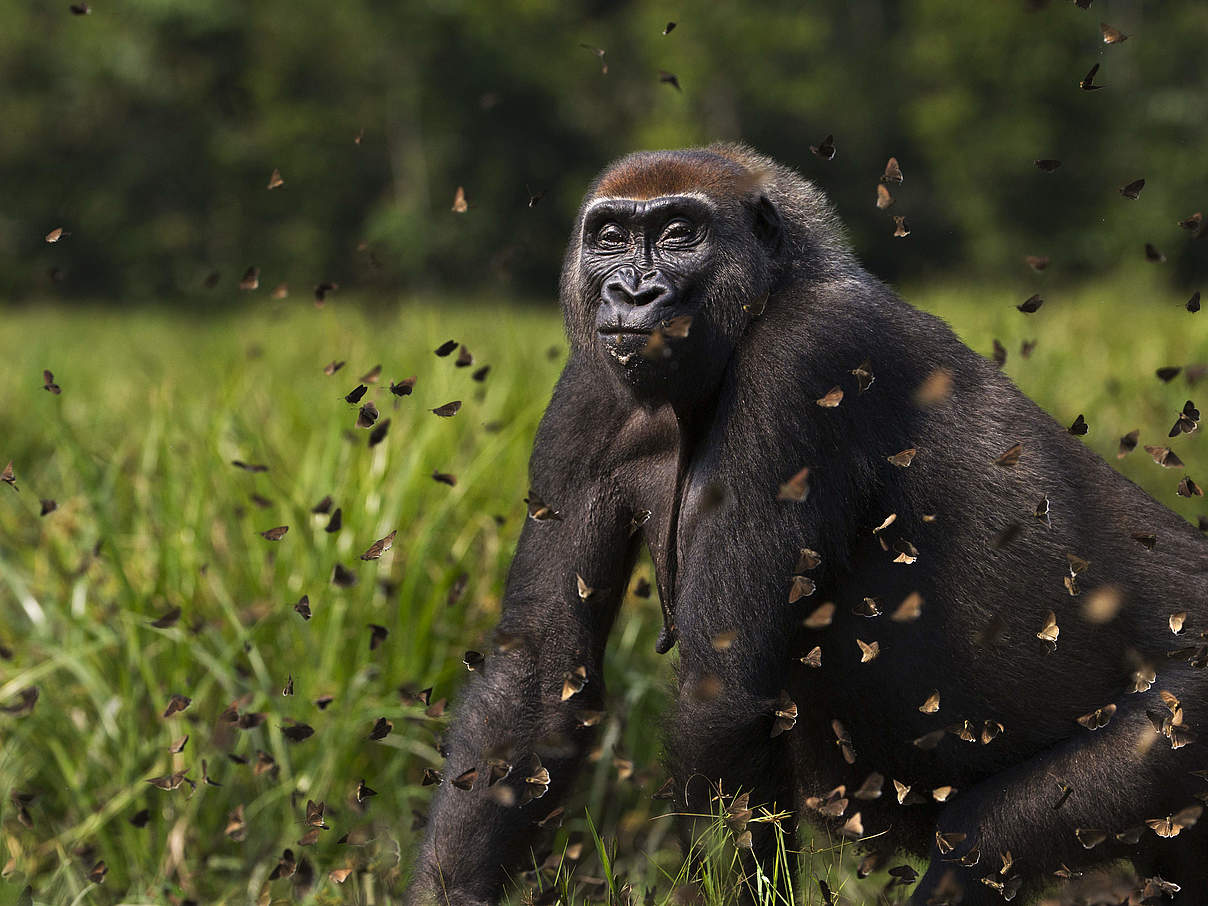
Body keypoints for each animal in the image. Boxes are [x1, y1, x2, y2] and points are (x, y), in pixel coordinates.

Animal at [408, 147, 1208, 906]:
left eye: (678, 232)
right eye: (610, 237)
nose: (631, 293)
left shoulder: (802, 358)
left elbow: (723, 698)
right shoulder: (586, 391)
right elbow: (539, 678)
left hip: (1187, 709)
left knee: (987, 842)